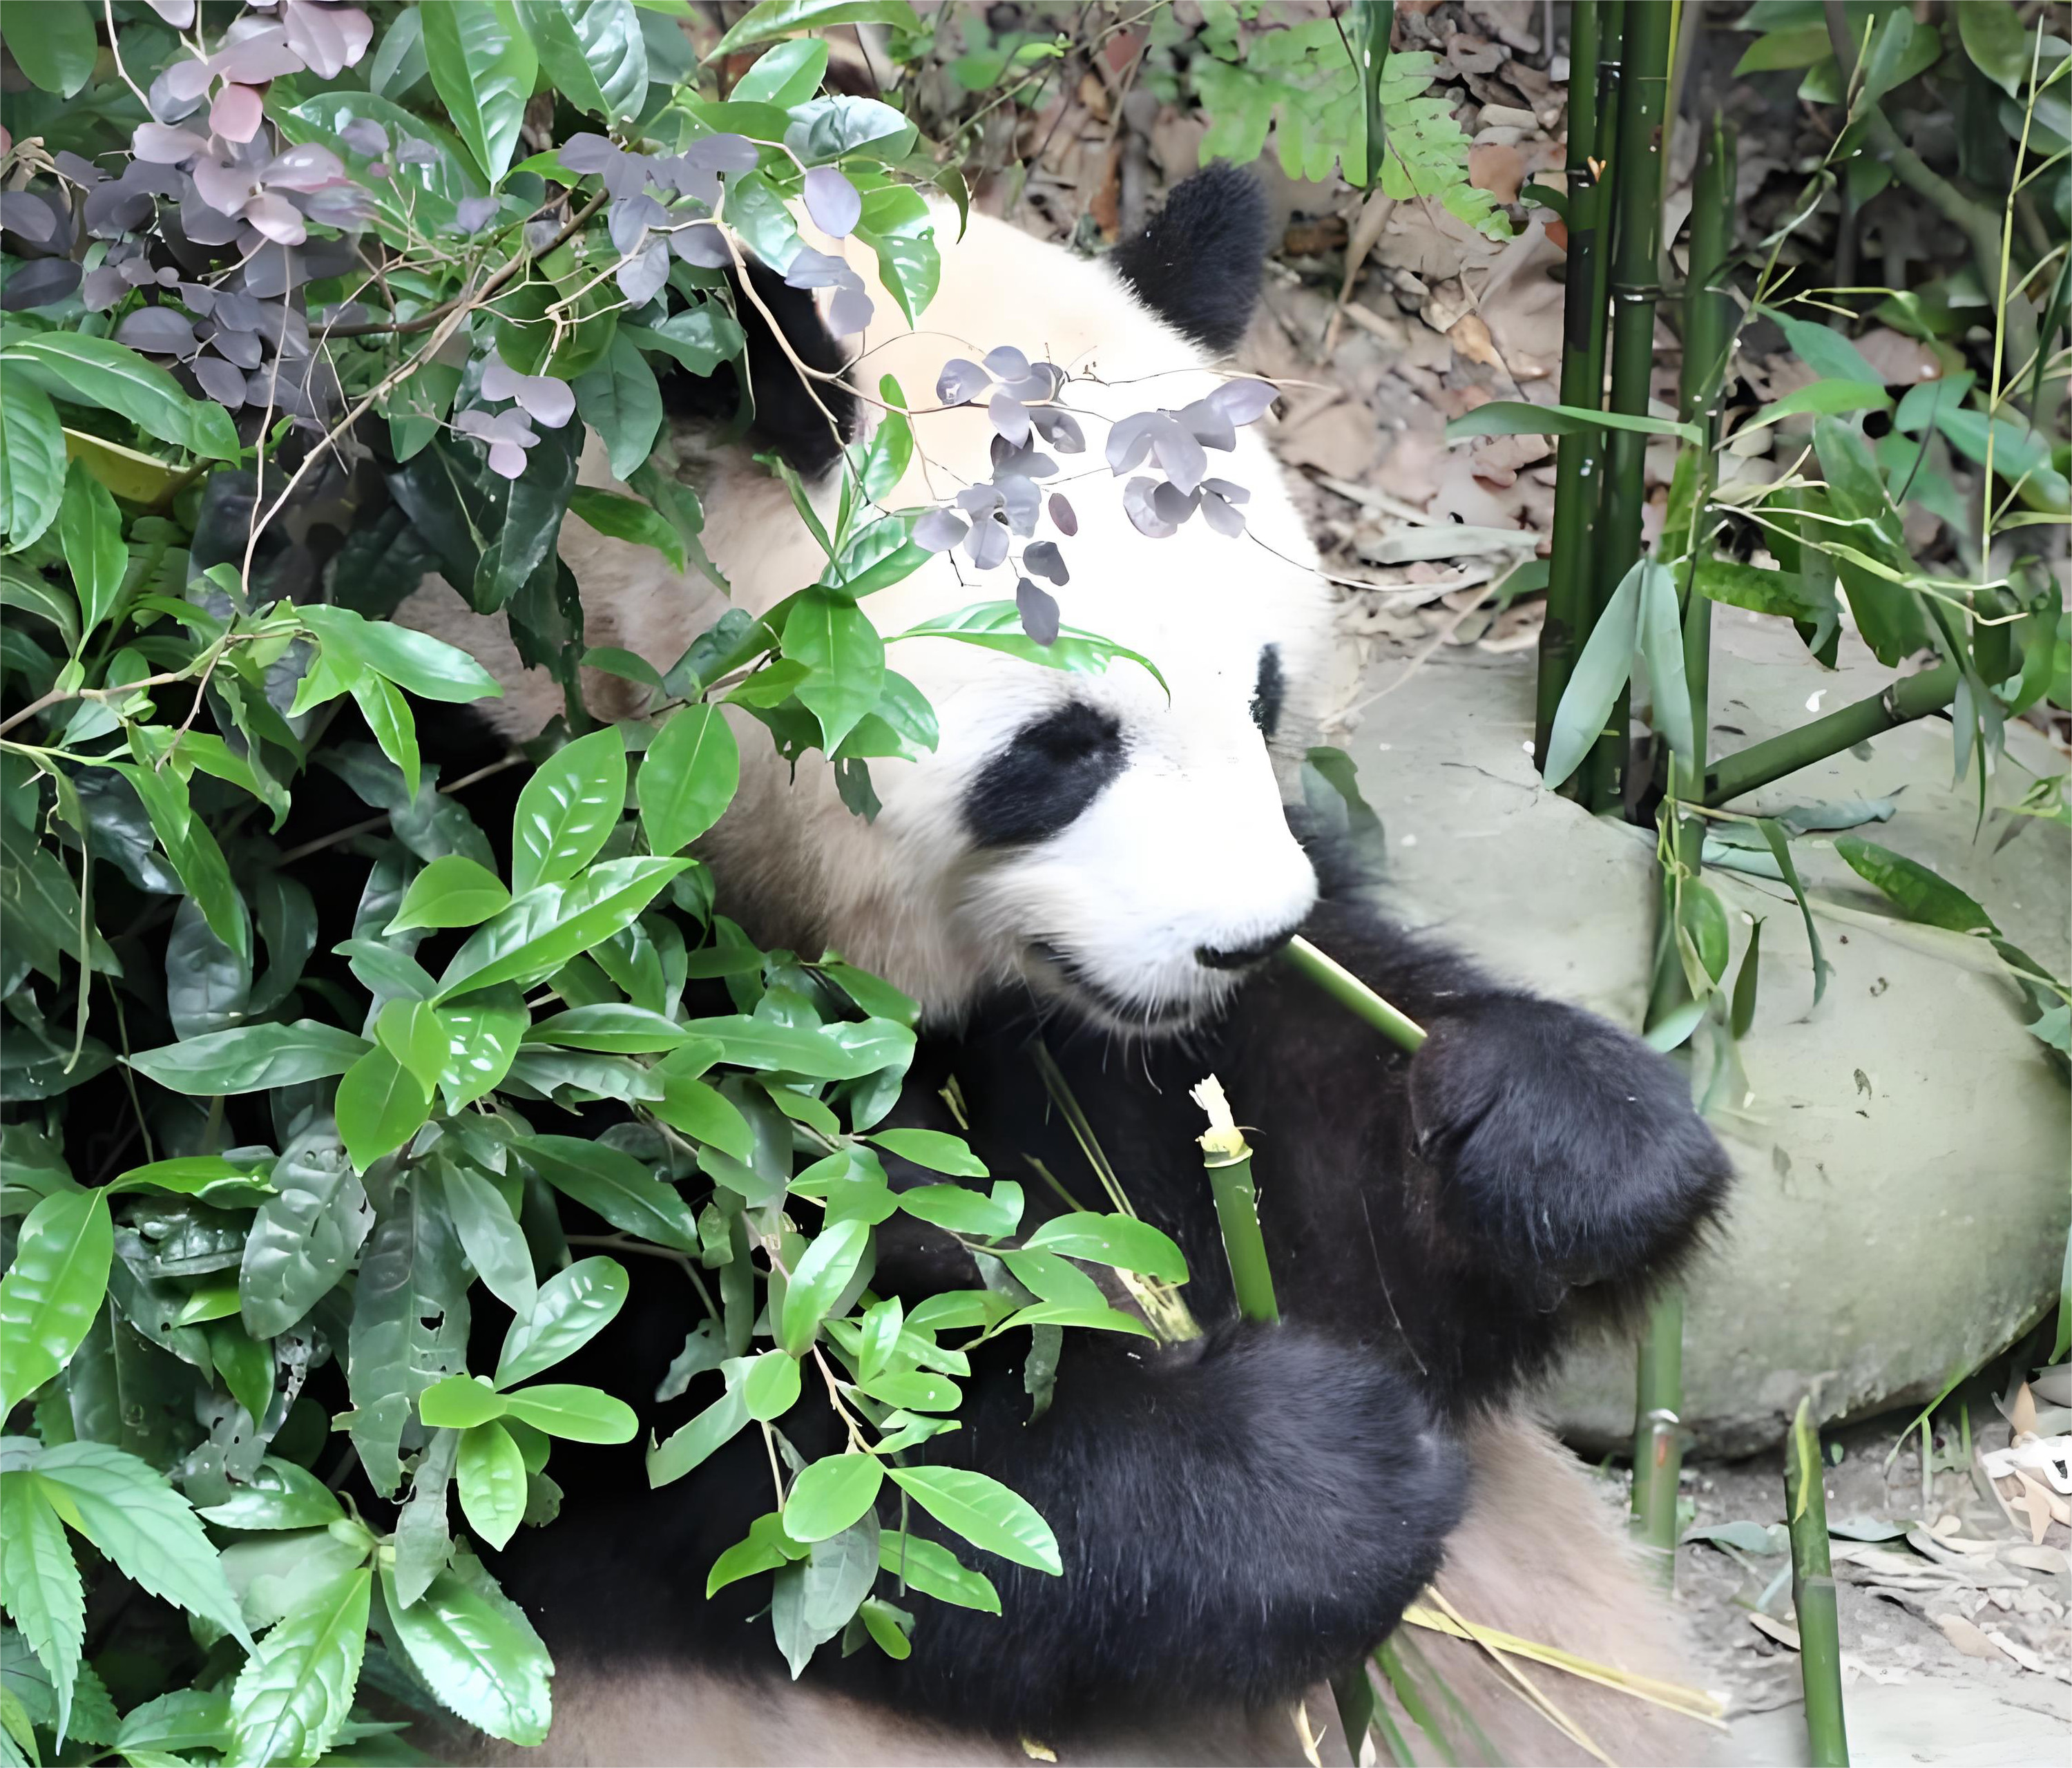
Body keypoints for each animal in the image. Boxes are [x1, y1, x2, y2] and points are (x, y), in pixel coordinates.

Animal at [399, 168, 1733, 1766]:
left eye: (1262, 692)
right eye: (1068, 745)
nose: (1245, 937)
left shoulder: (1119, 1045)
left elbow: (1306, 1195)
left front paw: (1562, 1131)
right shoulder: (484, 941)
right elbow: (686, 1439)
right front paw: (1305, 1475)